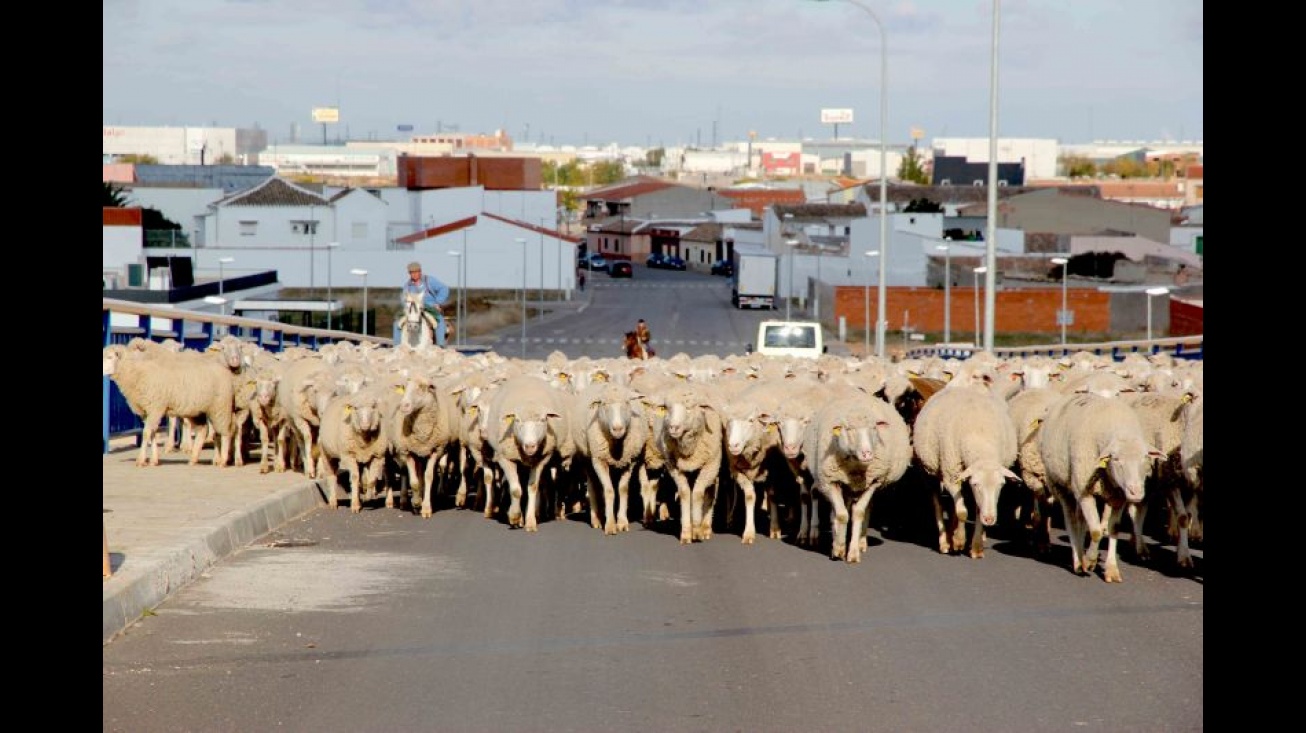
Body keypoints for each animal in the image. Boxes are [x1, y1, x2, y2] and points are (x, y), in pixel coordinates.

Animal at [1039, 391, 1164, 580]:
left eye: (1145, 457)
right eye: (1116, 459)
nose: (1136, 492)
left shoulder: (1118, 496)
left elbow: (1113, 529)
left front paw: (1111, 570)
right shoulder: (1085, 491)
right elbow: (1096, 531)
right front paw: (1089, 562)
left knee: (1080, 520)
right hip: (1061, 485)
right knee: (1071, 521)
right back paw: (1078, 561)